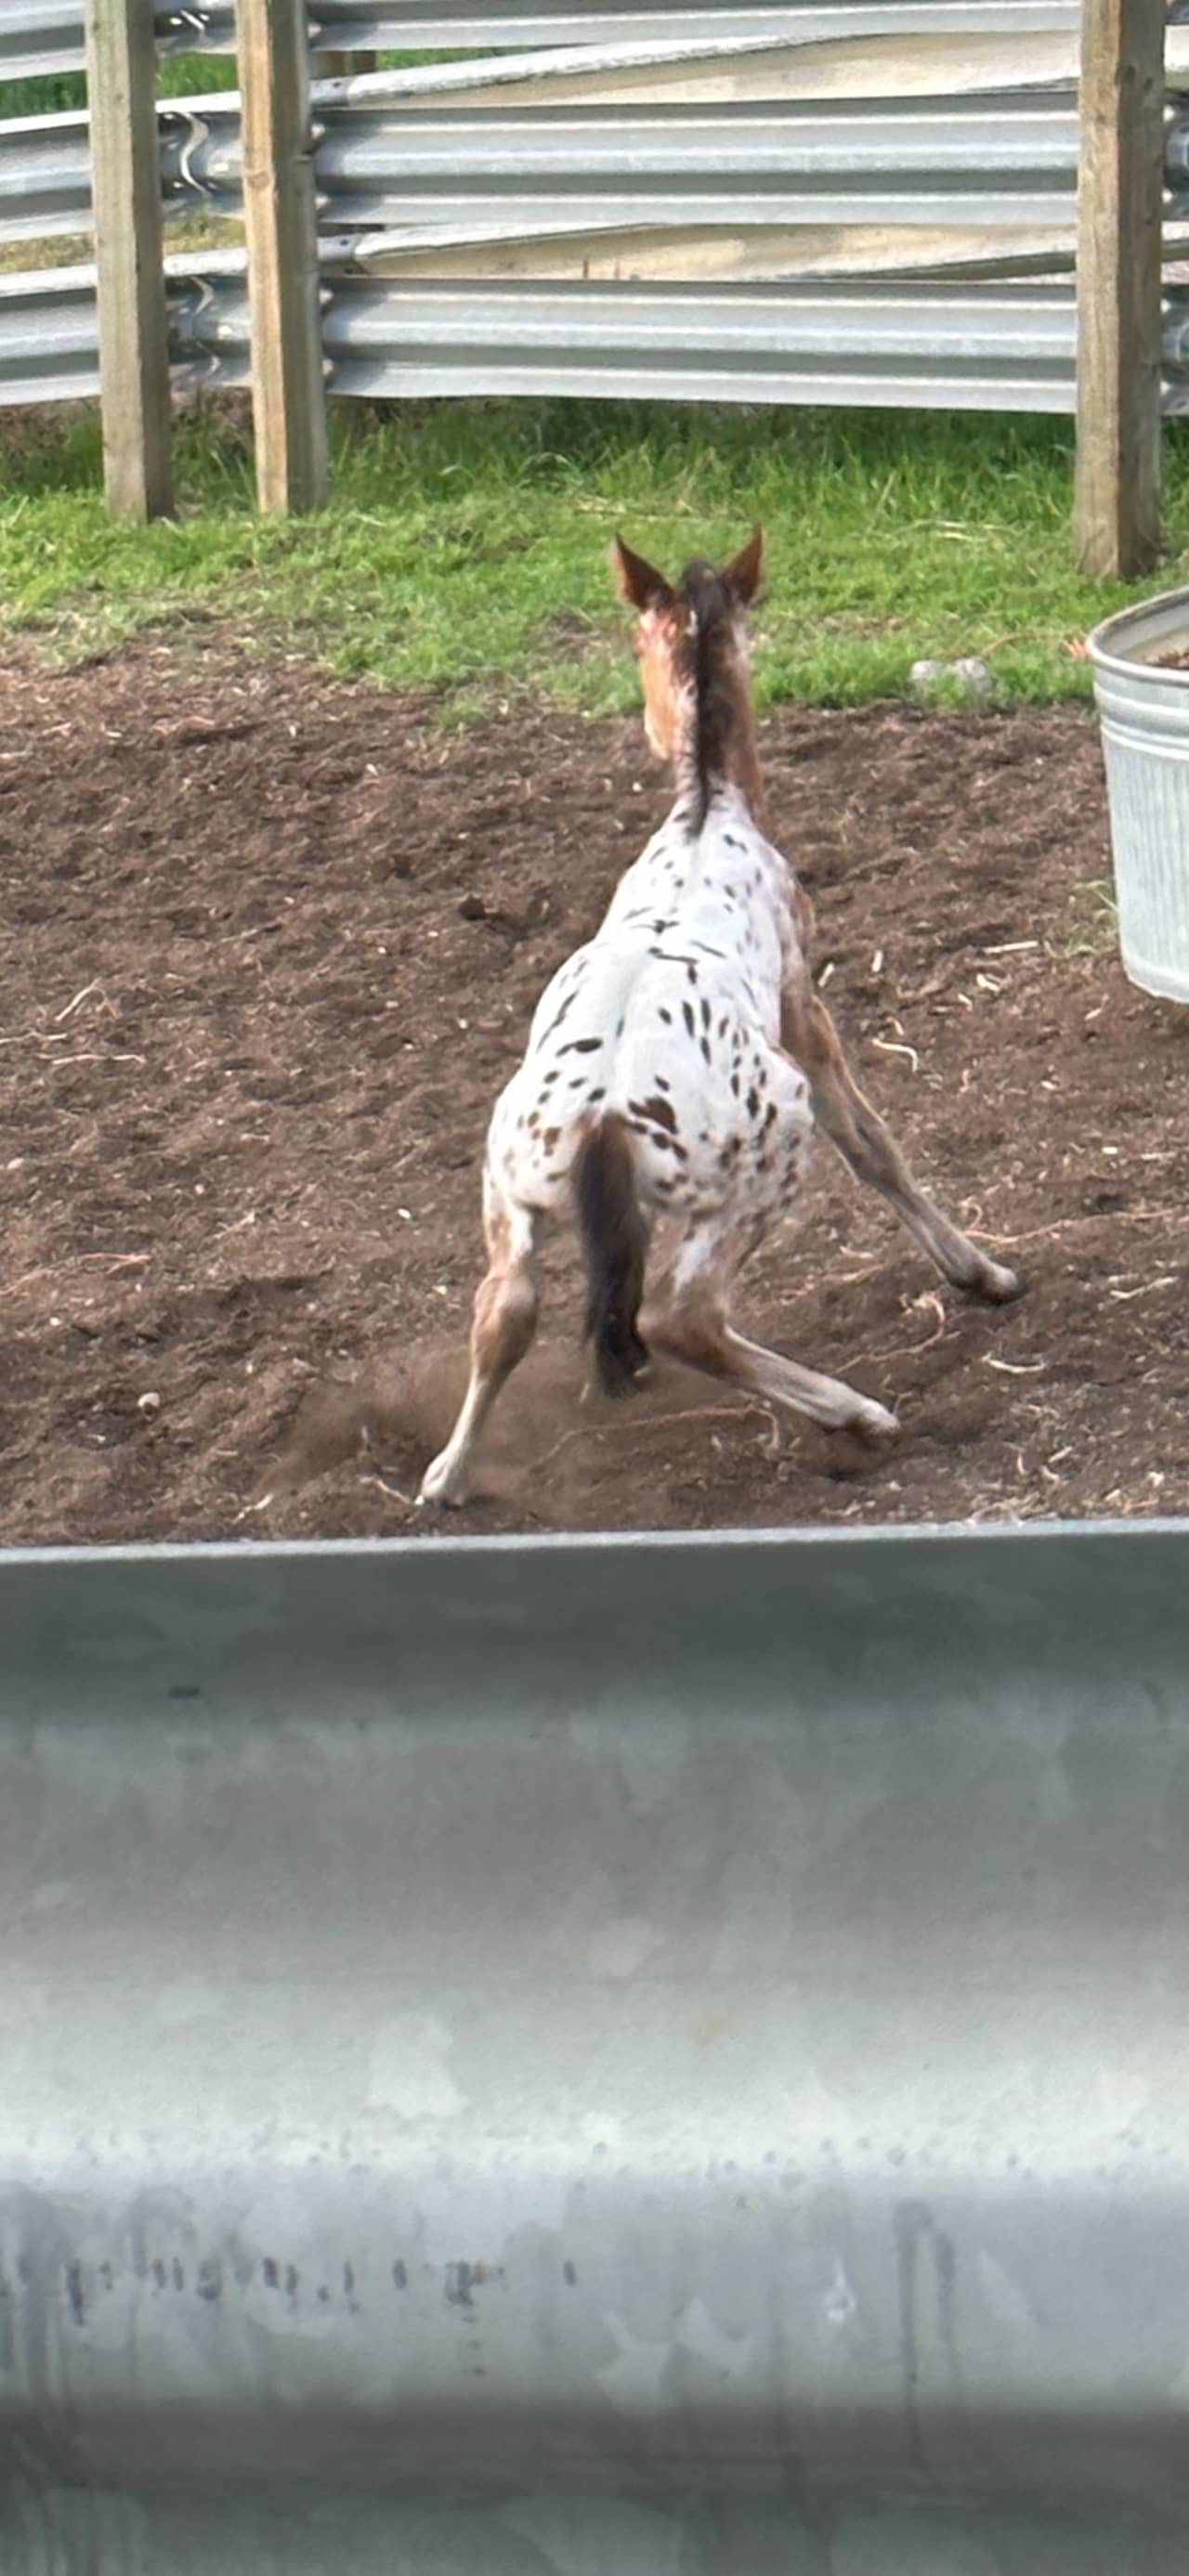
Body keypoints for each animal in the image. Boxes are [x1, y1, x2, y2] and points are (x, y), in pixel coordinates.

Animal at [420, 527, 1021, 1504]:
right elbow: (875, 1146)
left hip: (510, 1194)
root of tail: (601, 1116)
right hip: (759, 1165)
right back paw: (858, 1413)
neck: (709, 816)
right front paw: (981, 1272)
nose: (648, 725)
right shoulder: (803, 1008)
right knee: (681, 1319)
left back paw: (449, 1474)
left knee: (504, 1311)